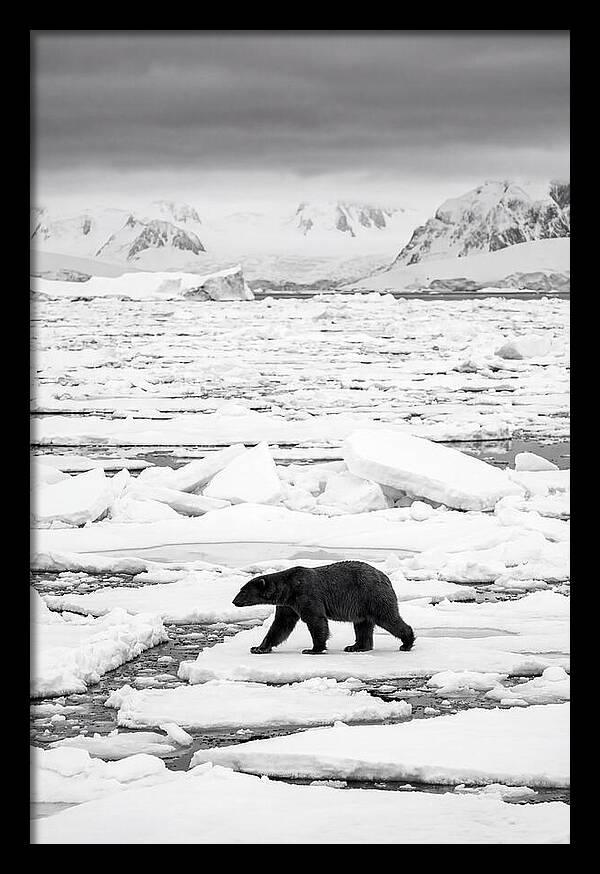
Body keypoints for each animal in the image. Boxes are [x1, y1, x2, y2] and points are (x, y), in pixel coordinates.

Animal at [232, 560, 415, 655]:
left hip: (371, 594)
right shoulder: (288, 605)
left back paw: (406, 642)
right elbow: (281, 625)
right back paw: (356, 647)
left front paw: (313, 649)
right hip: (362, 605)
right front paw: (258, 648)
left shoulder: (306, 595)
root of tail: (385, 577)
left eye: (243, 591)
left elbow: (315, 620)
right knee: (362, 625)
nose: (234, 601)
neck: (289, 588)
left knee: (387, 618)